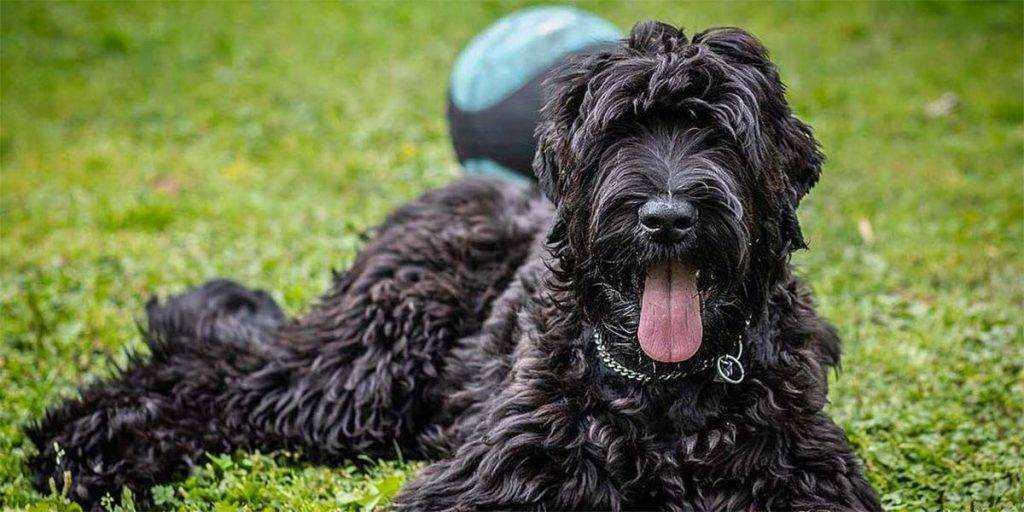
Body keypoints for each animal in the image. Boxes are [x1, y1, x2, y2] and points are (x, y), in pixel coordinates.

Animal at [28, 22, 884, 509]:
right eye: (621, 132)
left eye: (722, 135)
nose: (667, 217)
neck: (667, 397)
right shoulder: (497, 471)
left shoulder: (807, 474)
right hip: (367, 361)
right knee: (222, 370)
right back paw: (81, 441)